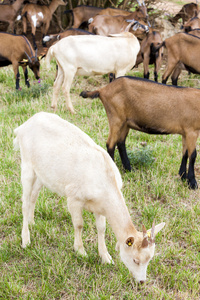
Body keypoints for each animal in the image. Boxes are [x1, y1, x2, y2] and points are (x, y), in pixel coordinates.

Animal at [13, 111, 165, 282]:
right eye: (135, 260)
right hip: (26, 165)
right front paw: (80, 251)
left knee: (34, 195)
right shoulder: (73, 197)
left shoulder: (100, 207)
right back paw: (26, 239)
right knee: (24, 202)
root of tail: (24, 125)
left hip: (42, 174)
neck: (105, 181)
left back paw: (32, 222)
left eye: (150, 259)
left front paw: (106, 257)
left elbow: (102, 228)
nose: (141, 281)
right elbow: (79, 224)